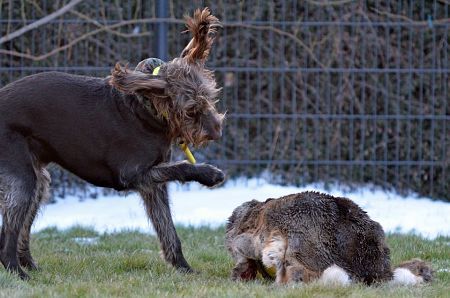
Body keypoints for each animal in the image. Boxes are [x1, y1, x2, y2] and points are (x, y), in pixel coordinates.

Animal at [0, 7, 224, 280]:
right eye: (191, 110)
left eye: (209, 98)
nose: (217, 132)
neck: (144, 109)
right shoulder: (131, 175)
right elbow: (182, 167)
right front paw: (209, 173)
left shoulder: (153, 185)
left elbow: (169, 232)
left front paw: (183, 268)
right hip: (22, 180)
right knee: (7, 238)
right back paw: (18, 272)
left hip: (38, 181)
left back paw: (30, 266)